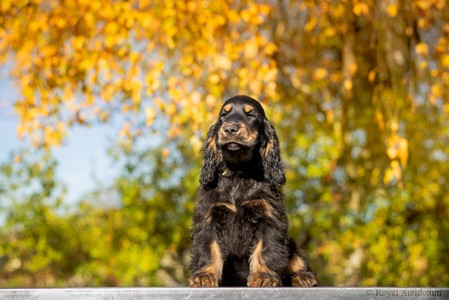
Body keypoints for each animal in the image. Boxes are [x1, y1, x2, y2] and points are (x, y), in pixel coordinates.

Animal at [188, 95, 316, 288]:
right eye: (223, 115)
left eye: (251, 115)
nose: (230, 128)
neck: (239, 174)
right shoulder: (209, 216)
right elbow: (208, 248)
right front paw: (204, 275)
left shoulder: (268, 216)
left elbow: (266, 248)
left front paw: (264, 276)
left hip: (291, 245)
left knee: (296, 261)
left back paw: (302, 276)